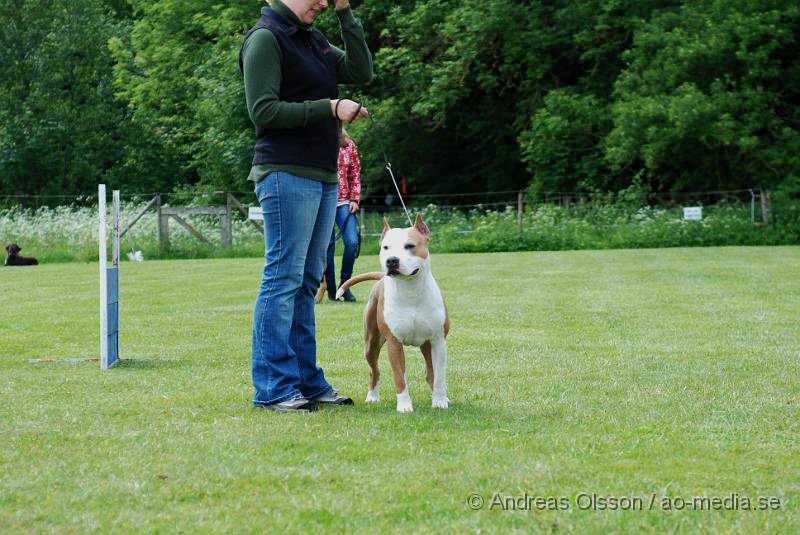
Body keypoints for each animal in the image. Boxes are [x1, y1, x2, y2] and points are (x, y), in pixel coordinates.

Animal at [336, 216, 450, 412]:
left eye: (410, 246)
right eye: (385, 247)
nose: (391, 261)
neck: (410, 290)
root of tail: (380, 278)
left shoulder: (438, 340)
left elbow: (440, 376)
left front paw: (440, 401)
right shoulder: (394, 343)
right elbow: (399, 377)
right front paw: (404, 406)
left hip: (426, 344)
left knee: (430, 372)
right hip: (371, 343)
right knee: (374, 371)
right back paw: (372, 397)